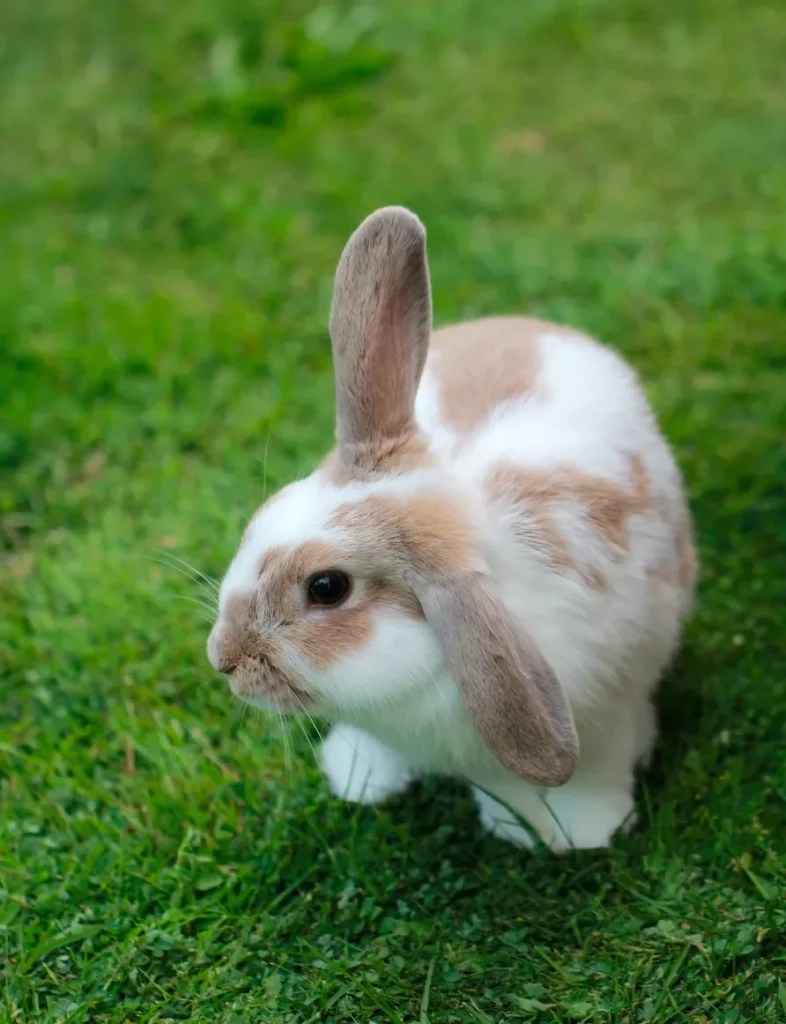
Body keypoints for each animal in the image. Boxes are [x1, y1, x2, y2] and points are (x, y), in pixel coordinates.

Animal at [206, 206, 696, 851]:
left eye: (327, 588)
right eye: (268, 512)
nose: (223, 658)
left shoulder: (603, 713)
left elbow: (590, 775)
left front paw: (581, 832)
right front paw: (360, 777)